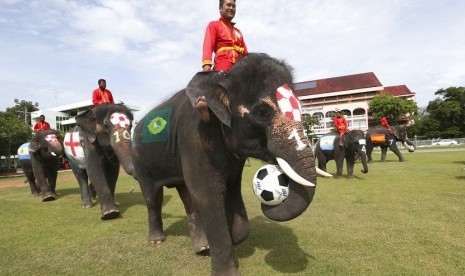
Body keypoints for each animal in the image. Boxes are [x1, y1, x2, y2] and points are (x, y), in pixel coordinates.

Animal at [130, 53, 320, 276]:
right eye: (262, 112)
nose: (268, 202)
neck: (223, 78)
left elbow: (230, 190)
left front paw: (234, 236)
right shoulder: (195, 136)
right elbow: (208, 194)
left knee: (187, 197)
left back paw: (203, 248)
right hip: (140, 159)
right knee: (153, 198)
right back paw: (157, 240)